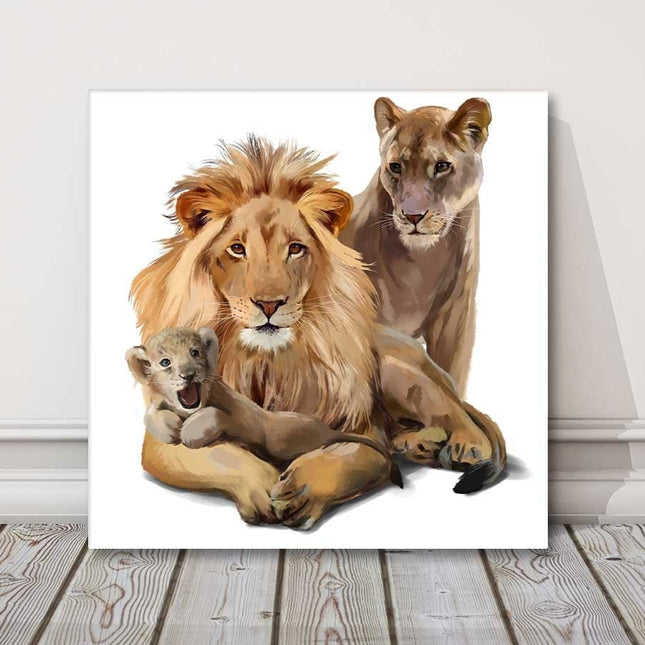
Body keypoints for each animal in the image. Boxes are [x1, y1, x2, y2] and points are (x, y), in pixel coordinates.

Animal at [131, 136, 505, 529]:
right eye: (237, 249)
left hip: (399, 371)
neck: (267, 362)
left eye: (296, 249)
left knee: (456, 414)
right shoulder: (157, 444)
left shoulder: (360, 429)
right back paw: (417, 444)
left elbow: (350, 455)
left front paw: (303, 487)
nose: (269, 304)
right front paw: (260, 483)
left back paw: (463, 446)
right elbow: (218, 454)